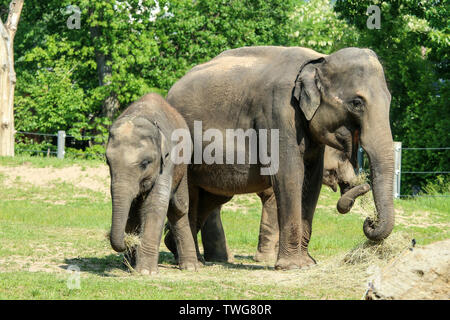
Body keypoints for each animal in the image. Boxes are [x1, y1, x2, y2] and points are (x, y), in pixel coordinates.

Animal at [106, 92, 198, 276]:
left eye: (145, 163)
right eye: (107, 162)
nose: (127, 242)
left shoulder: (167, 161)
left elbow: (154, 204)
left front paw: (145, 272)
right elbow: (133, 208)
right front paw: (132, 264)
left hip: (184, 166)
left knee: (178, 209)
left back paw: (190, 267)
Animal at [163, 45, 392, 270]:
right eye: (356, 102)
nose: (370, 220)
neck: (320, 60)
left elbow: (311, 181)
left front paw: (308, 263)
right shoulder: (279, 113)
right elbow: (289, 176)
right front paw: (292, 266)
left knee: (212, 197)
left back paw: (180, 250)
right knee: (192, 195)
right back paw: (193, 261)